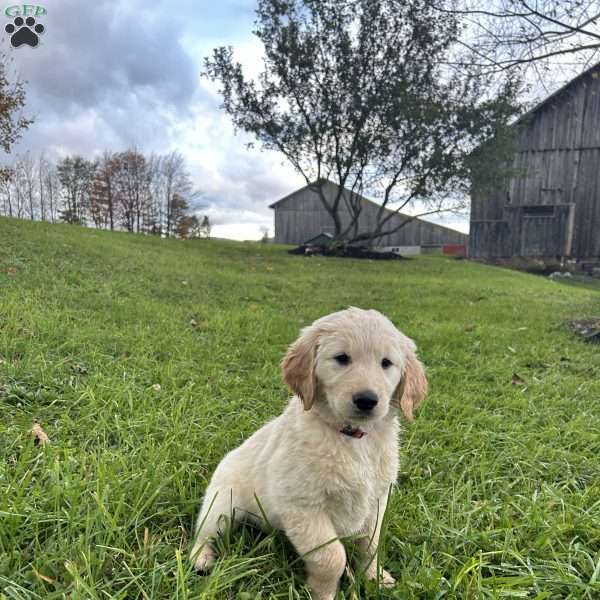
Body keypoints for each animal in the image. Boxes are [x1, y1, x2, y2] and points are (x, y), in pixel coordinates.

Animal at [190, 308, 428, 596]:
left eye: (386, 363)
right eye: (342, 358)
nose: (367, 400)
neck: (351, 437)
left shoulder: (377, 501)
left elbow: (370, 546)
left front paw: (376, 578)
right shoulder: (304, 506)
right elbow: (332, 557)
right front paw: (323, 593)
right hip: (221, 505)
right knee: (204, 533)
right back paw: (201, 558)